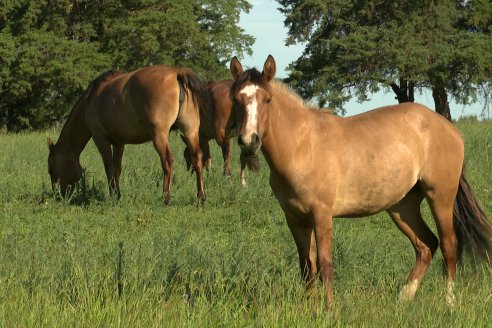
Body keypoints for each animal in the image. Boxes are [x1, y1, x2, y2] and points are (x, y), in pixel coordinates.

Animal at [50, 65, 209, 205]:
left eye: (52, 169)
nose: (58, 195)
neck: (92, 98)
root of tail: (177, 73)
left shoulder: (100, 138)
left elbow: (108, 167)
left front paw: (113, 195)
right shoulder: (119, 142)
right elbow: (117, 168)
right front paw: (118, 194)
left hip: (159, 135)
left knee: (167, 161)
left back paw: (166, 198)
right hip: (190, 131)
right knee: (197, 158)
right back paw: (200, 198)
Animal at [229, 54, 492, 308]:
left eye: (267, 100)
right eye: (237, 100)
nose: (249, 141)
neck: (302, 147)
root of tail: (449, 128)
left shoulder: (321, 215)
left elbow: (325, 265)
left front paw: (329, 310)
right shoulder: (295, 220)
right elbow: (306, 267)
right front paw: (309, 309)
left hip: (440, 197)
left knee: (449, 246)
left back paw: (449, 303)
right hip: (402, 207)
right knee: (426, 245)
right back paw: (404, 298)